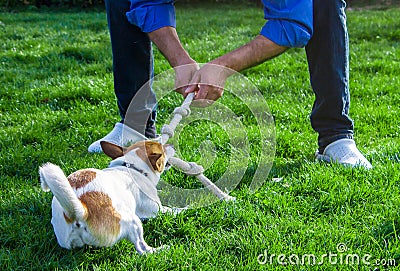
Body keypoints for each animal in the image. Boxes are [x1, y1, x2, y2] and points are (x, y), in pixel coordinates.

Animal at [39, 141, 176, 254]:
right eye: (162, 148)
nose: (173, 145)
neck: (132, 167)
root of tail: (79, 213)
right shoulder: (156, 210)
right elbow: (173, 210)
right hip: (133, 221)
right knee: (142, 249)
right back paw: (160, 249)